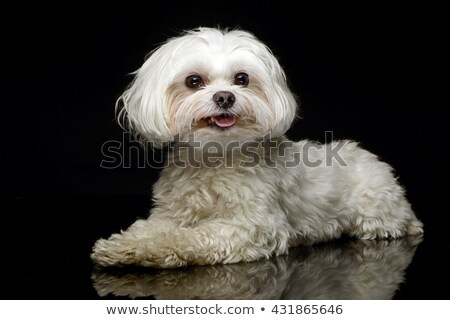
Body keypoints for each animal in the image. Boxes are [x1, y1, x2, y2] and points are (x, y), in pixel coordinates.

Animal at [90, 26, 422, 268]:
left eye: (242, 79)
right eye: (193, 81)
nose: (225, 97)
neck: (216, 157)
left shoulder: (252, 228)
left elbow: (193, 237)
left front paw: (163, 249)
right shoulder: (171, 214)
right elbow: (149, 229)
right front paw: (124, 246)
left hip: (375, 212)